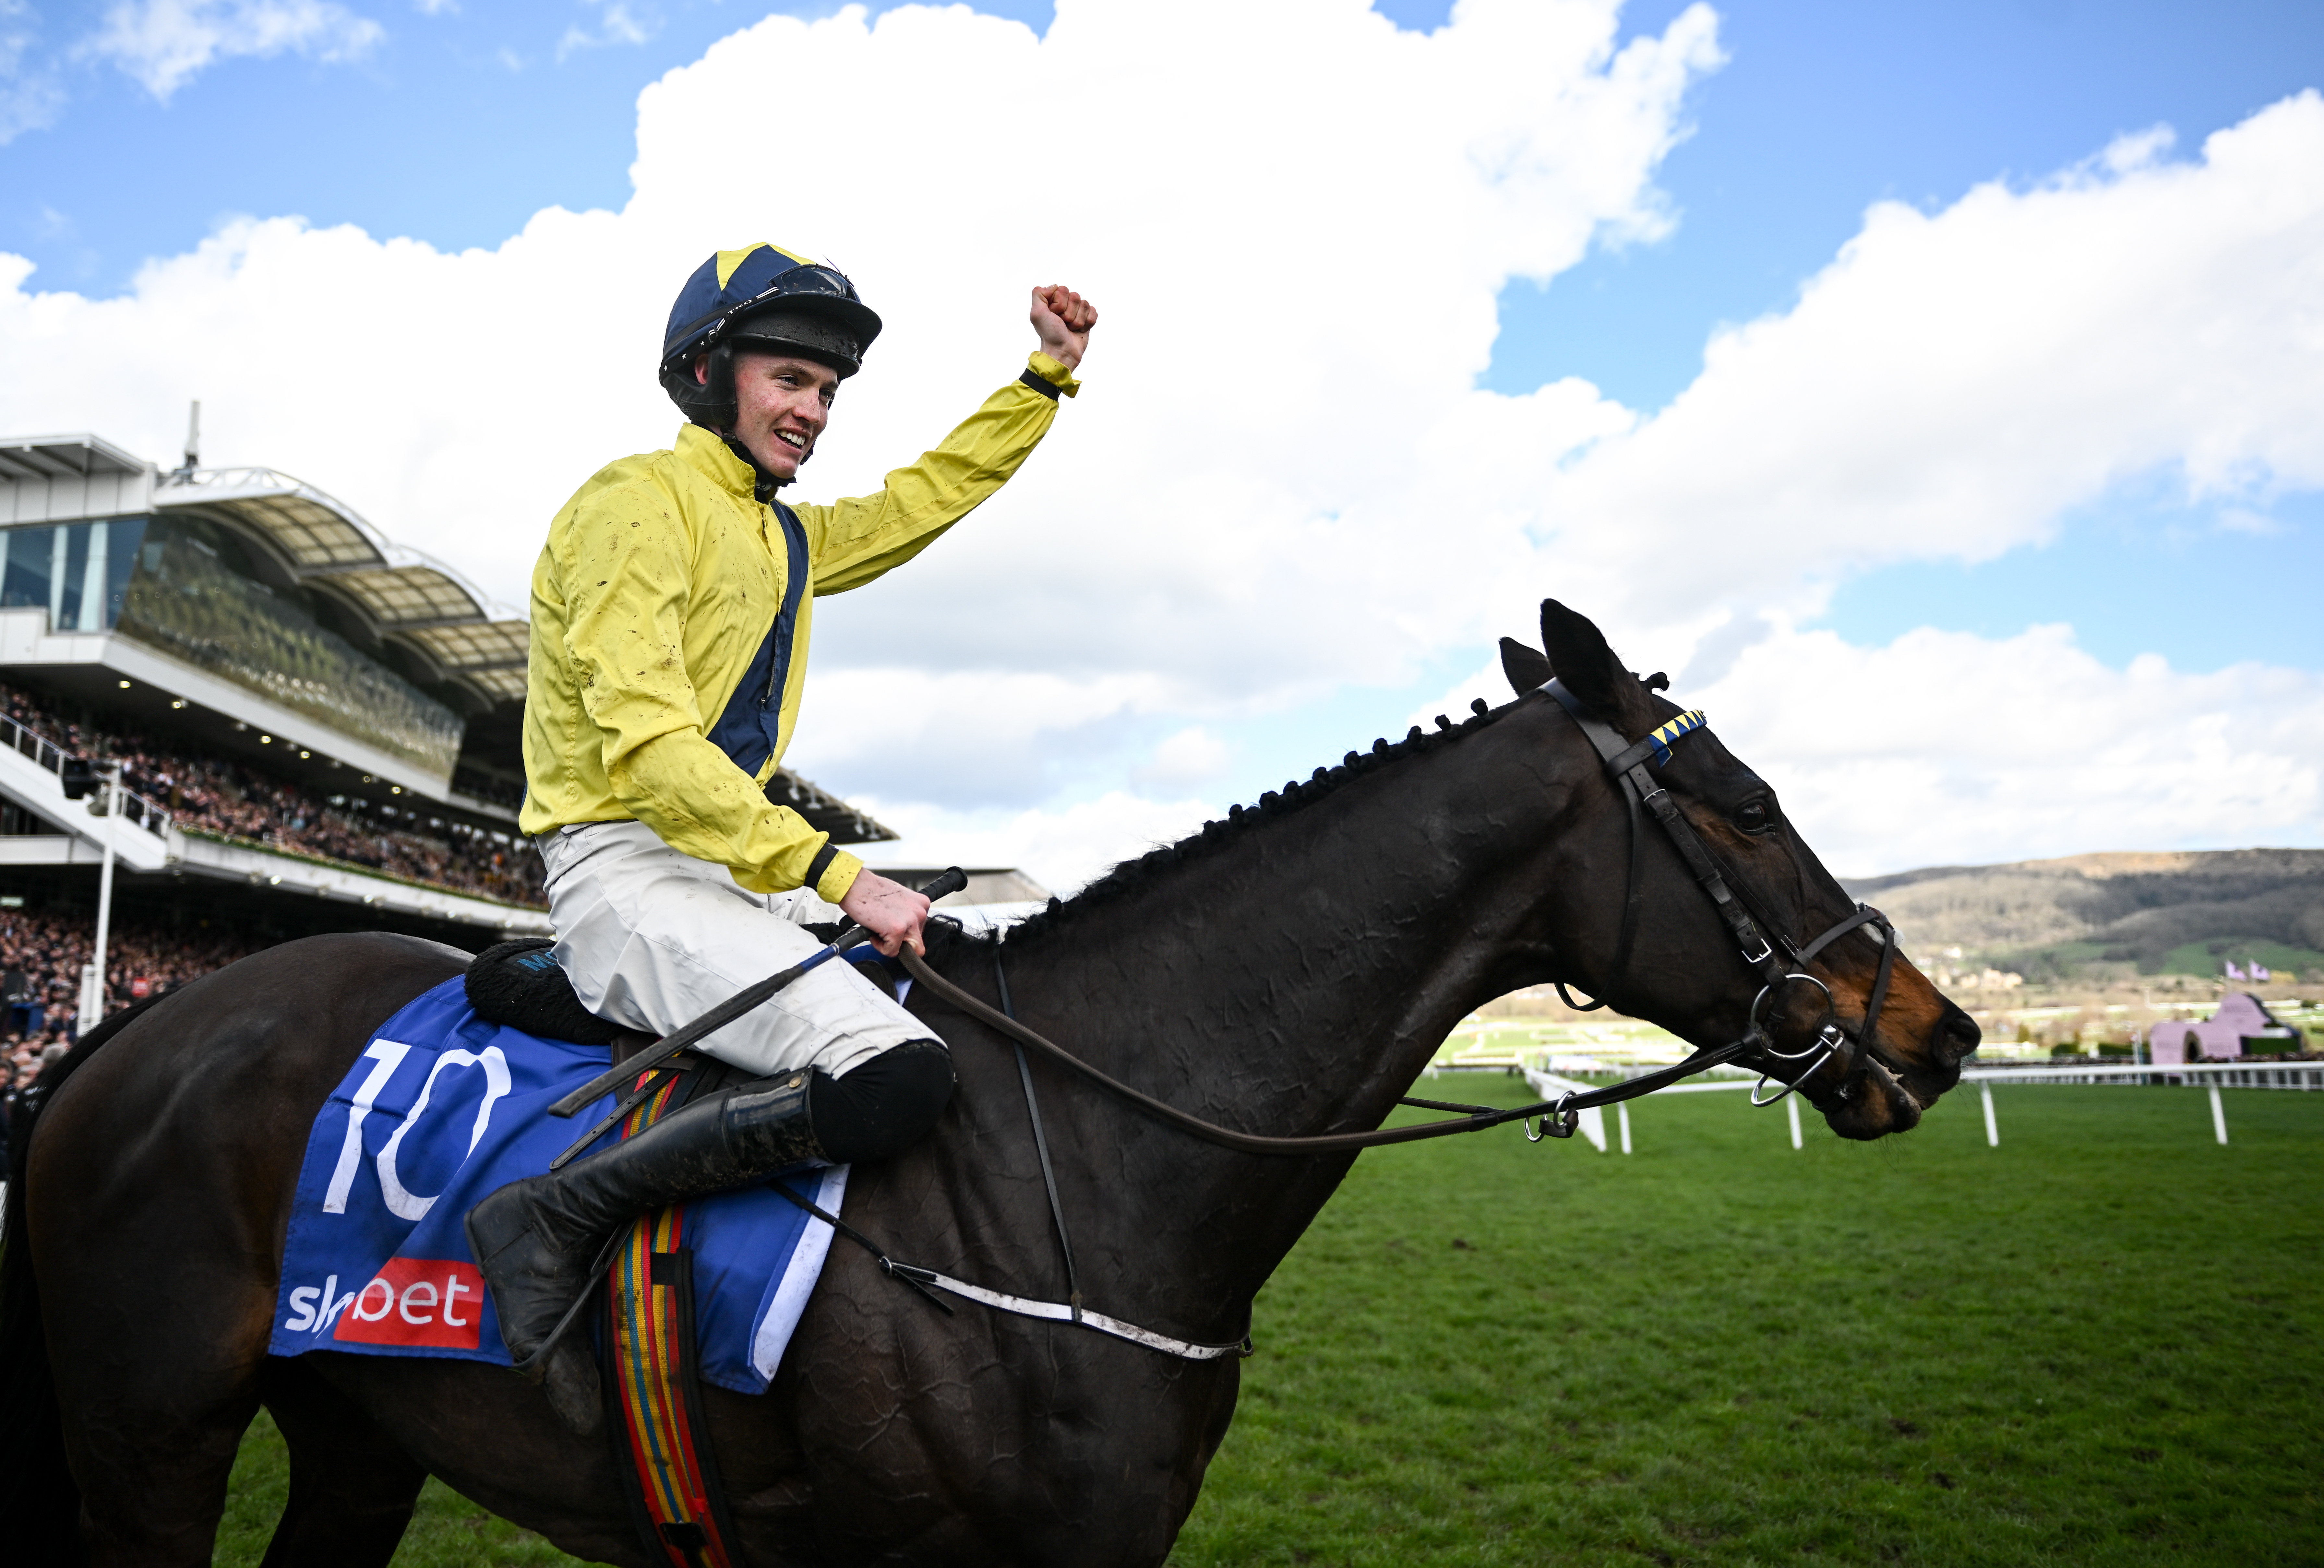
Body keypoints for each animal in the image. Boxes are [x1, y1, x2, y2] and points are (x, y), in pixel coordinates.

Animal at [0, 599, 1980, 1568]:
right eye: (1738, 799)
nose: (1937, 1033)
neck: (1086, 1159)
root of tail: (126, 1037)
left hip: (356, 1431)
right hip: (147, 1439)